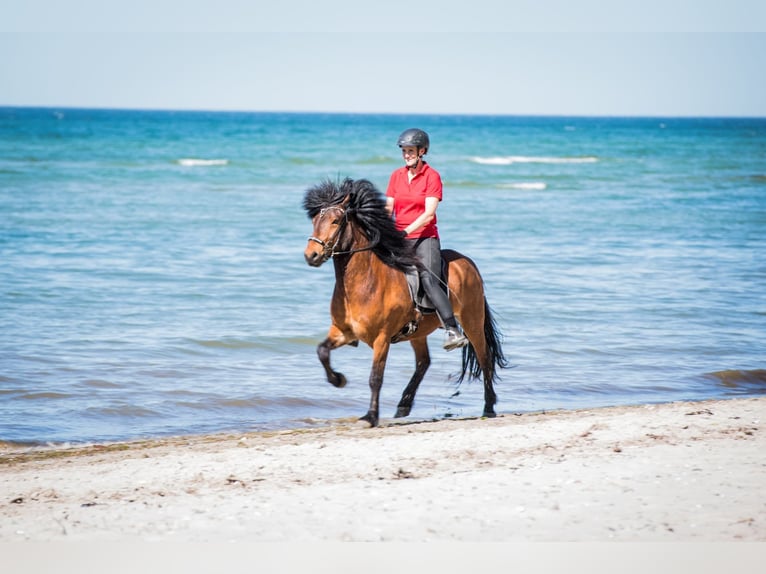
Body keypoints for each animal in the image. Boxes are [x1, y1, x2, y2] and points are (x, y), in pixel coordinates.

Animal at [304, 179, 508, 428]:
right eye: (315, 221)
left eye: (335, 221)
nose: (311, 255)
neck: (364, 282)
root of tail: (467, 263)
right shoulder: (342, 331)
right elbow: (322, 351)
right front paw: (338, 379)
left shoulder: (382, 338)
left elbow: (375, 378)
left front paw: (370, 416)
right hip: (419, 332)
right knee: (424, 362)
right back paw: (404, 404)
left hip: (472, 322)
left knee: (484, 357)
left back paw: (488, 407)